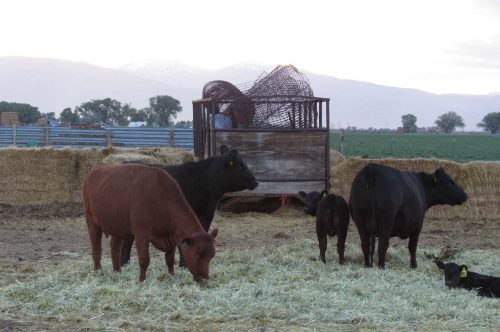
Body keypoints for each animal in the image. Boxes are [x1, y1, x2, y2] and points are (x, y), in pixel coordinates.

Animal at [83, 162, 218, 282]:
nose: (204, 280)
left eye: (212, 256)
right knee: (96, 248)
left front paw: (171, 276)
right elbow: (144, 259)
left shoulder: (172, 236)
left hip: (117, 226)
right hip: (91, 220)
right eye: (197, 254)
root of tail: (94, 169)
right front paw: (142, 280)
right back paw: (98, 271)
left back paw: (117, 272)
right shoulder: (141, 234)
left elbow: (170, 259)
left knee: (115, 248)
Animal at [120, 145, 258, 268]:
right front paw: (184, 265)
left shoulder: (207, 215)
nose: (255, 181)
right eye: (240, 165)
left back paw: (125, 264)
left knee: (128, 240)